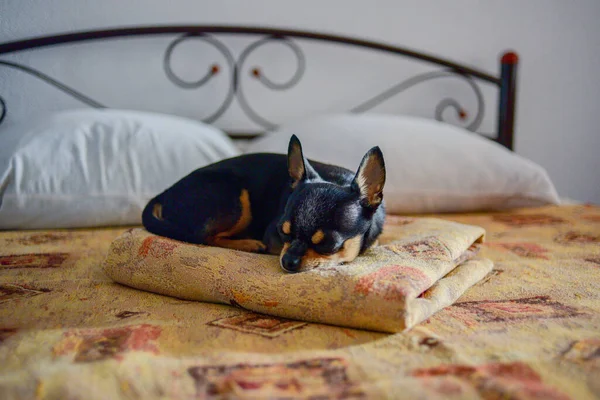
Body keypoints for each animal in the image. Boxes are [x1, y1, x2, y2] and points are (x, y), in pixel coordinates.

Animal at [141, 134, 386, 272]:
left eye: (328, 244)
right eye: (282, 232)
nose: (288, 261)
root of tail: (164, 194)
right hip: (234, 198)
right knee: (204, 236)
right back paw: (249, 244)